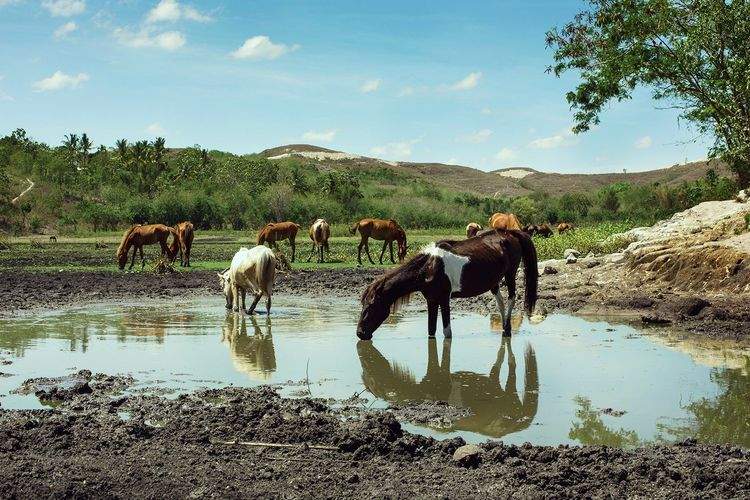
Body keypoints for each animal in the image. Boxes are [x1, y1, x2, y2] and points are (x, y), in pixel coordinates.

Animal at [360, 229, 540, 340]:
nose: (360, 333)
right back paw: (504, 328)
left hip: (510, 274)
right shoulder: (431, 300)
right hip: (494, 281)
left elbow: (447, 333)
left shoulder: (444, 299)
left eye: (371, 305)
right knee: (501, 302)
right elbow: (431, 330)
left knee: (511, 298)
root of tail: (510, 233)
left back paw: (507, 330)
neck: (429, 266)